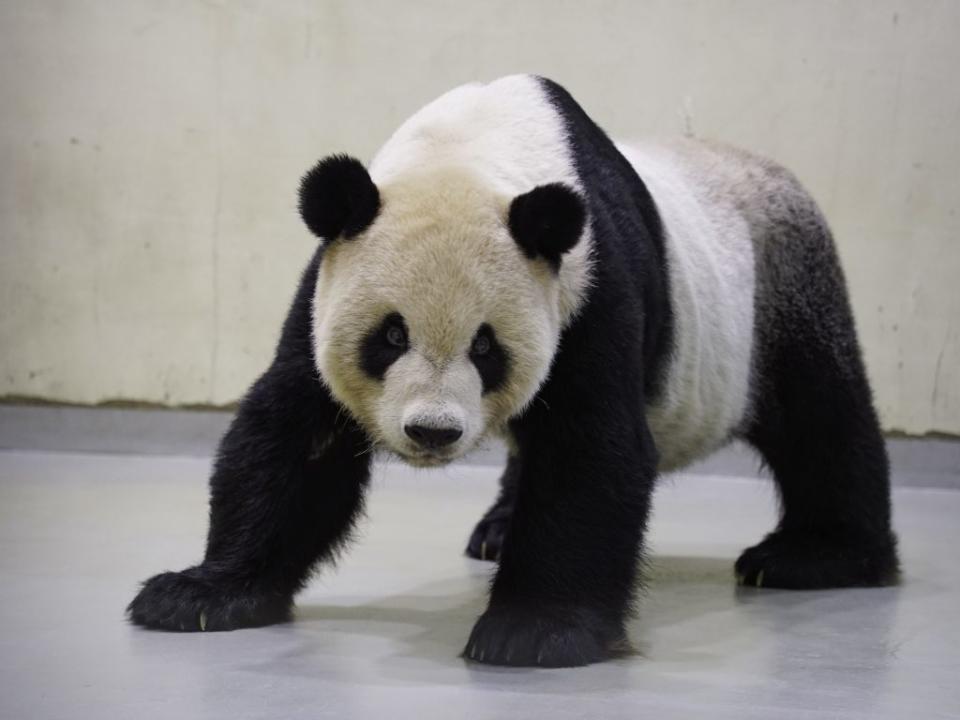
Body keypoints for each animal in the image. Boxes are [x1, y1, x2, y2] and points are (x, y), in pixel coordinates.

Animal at [127, 76, 900, 668]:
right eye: (390, 335)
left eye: (486, 347)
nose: (432, 432)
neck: (472, 148)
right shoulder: (326, 284)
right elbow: (293, 439)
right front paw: (200, 593)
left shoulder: (587, 289)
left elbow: (592, 449)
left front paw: (535, 631)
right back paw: (497, 530)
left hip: (780, 292)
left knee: (823, 419)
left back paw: (813, 556)